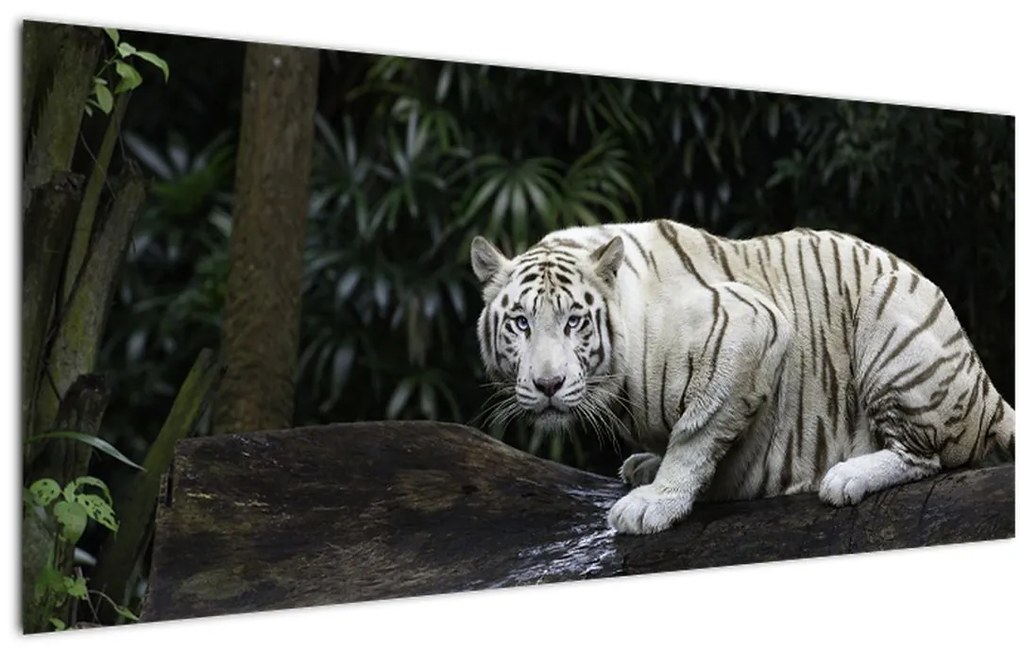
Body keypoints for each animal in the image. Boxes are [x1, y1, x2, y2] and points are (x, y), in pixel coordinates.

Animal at [470, 219, 1015, 535]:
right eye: (521, 322)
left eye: (574, 322)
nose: (548, 385)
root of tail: (985, 389)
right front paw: (650, 470)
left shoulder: (753, 327)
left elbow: (696, 433)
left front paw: (655, 504)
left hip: (889, 313)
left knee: (929, 457)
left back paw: (846, 477)